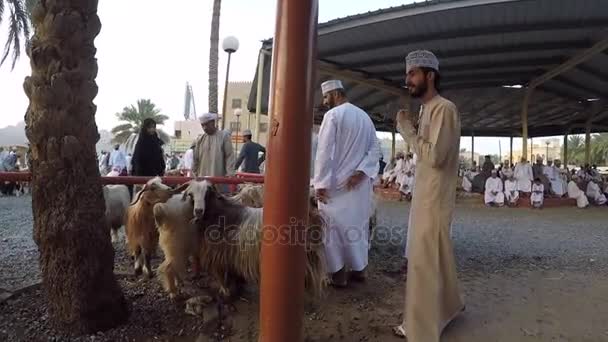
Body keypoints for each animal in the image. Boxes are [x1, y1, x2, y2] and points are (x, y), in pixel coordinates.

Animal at [185, 182, 328, 300]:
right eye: (190, 194)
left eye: (207, 193)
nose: (198, 211)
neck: (219, 214)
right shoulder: (232, 255)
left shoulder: (219, 255)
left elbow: (221, 275)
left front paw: (226, 291)